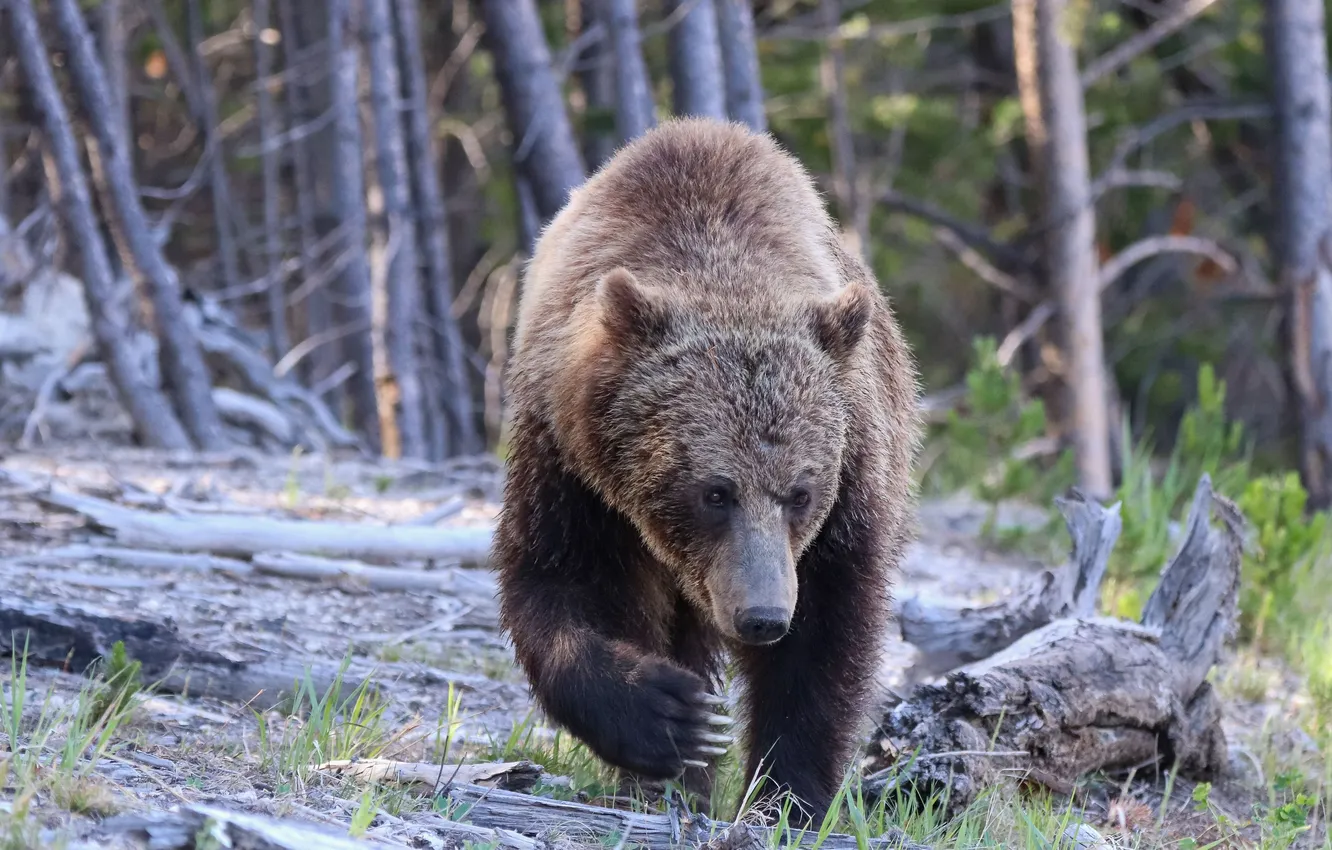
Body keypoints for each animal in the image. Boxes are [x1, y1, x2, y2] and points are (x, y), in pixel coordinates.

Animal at [495, 116, 921, 820]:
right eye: (715, 492)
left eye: (801, 493)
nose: (763, 616)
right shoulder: (570, 465)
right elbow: (560, 582)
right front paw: (672, 718)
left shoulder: (853, 478)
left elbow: (826, 636)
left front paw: (786, 793)